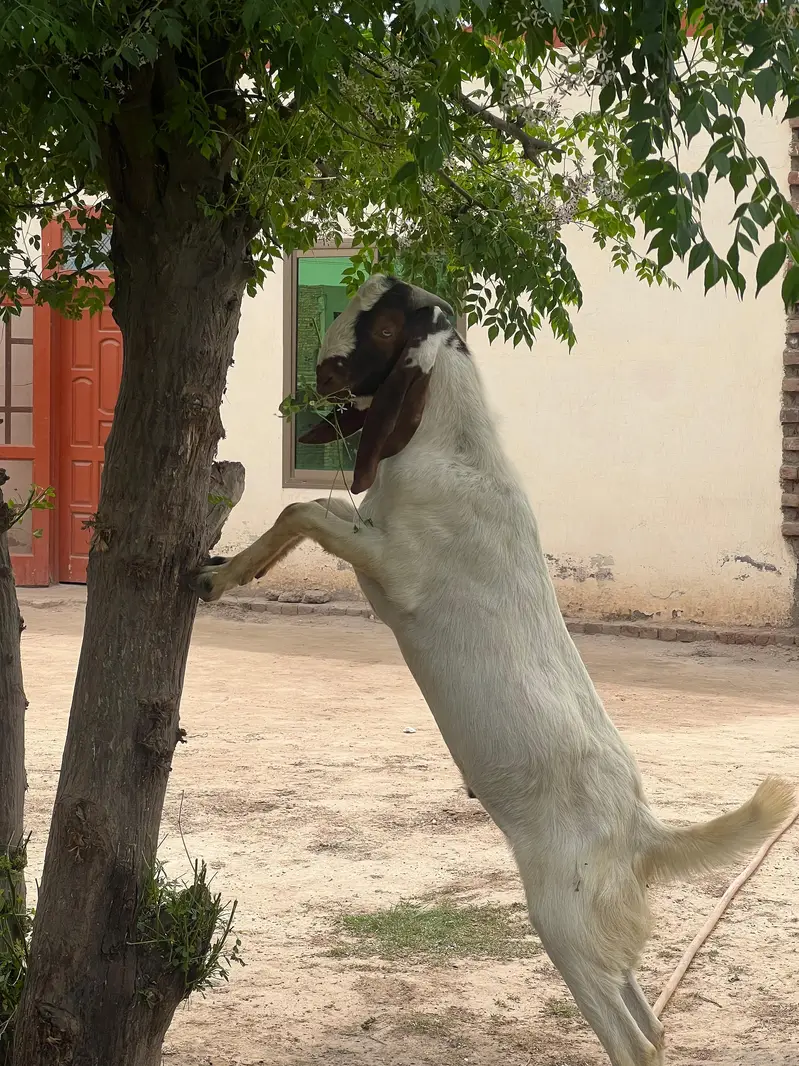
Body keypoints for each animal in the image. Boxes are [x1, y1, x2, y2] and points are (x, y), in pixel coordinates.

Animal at [193, 275, 795, 1066]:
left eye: (382, 326)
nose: (320, 371)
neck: (454, 450)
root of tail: (642, 835)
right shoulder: (370, 539)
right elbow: (305, 511)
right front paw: (221, 575)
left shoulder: (393, 566)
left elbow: (304, 512)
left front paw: (215, 577)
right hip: (604, 930)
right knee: (653, 1020)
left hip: (562, 919)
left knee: (633, 1041)